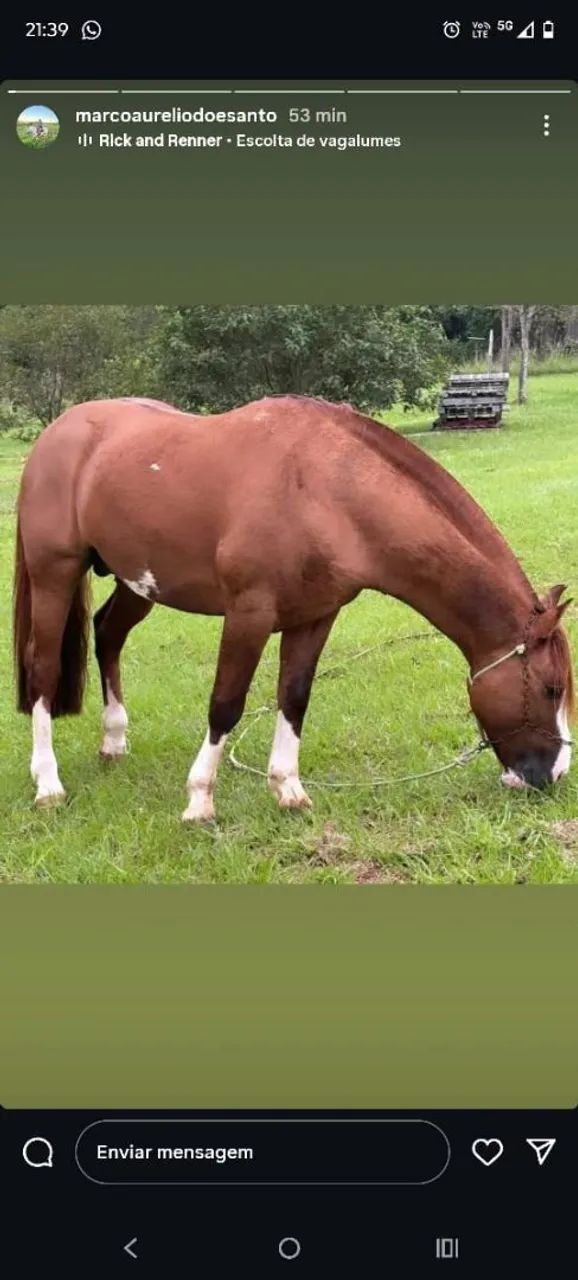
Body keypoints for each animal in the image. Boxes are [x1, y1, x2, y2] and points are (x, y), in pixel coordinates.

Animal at [13, 394, 574, 821]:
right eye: (551, 689)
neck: (326, 490)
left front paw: (287, 788)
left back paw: (113, 741)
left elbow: (295, 696)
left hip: (137, 582)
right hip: (54, 573)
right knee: (43, 669)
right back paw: (48, 783)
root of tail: (59, 431)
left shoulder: (315, 617)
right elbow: (226, 703)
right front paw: (199, 800)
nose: (555, 774)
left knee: (107, 633)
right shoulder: (249, 614)